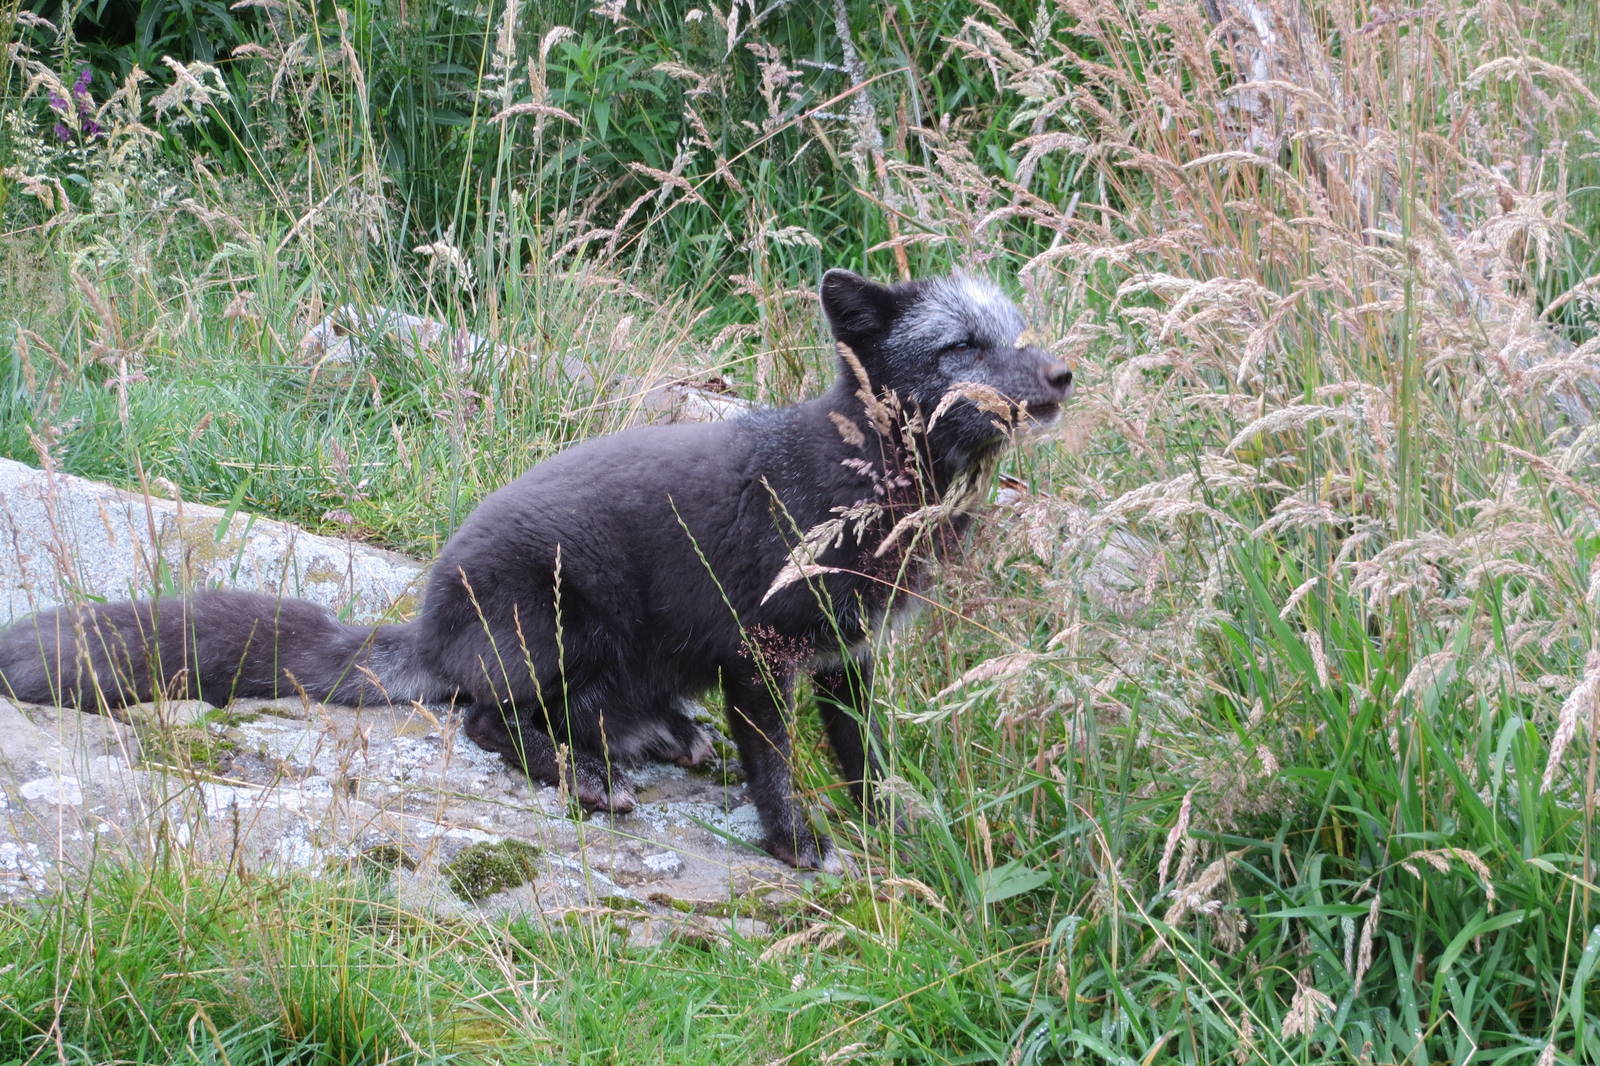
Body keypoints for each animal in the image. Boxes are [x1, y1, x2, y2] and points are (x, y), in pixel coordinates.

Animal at [0, 268, 1072, 870]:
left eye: (1018, 333)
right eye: (960, 346)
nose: (1061, 375)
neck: (852, 475)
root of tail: (429, 622)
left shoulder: (850, 658)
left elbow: (861, 757)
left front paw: (889, 818)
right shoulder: (762, 654)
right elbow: (774, 763)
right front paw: (793, 842)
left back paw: (656, 738)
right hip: (556, 625)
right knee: (488, 721)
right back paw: (583, 777)